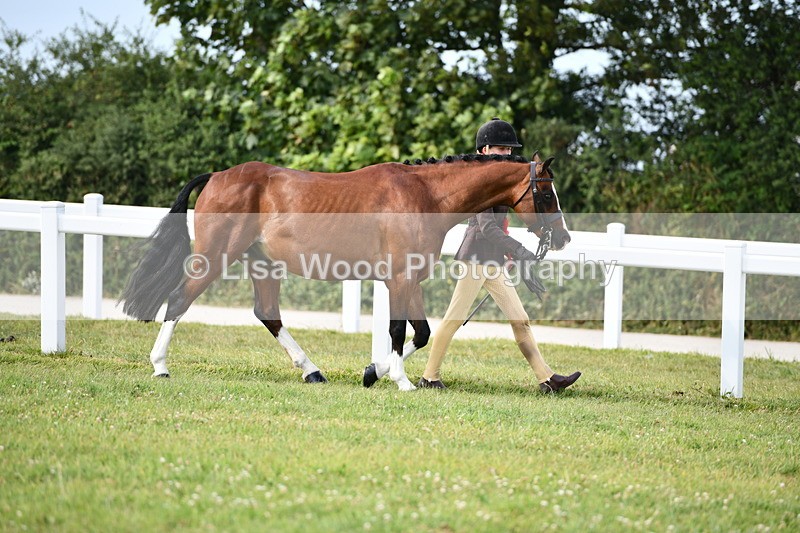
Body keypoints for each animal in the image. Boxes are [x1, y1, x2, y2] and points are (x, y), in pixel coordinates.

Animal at [120, 152, 571, 391]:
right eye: (546, 193)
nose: (563, 238)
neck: (425, 195)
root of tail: (217, 176)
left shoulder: (412, 279)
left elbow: (422, 333)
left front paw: (374, 373)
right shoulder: (399, 278)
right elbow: (400, 330)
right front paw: (400, 380)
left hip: (264, 265)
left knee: (268, 314)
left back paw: (313, 372)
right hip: (215, 256)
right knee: (179, 299)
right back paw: (160, 366)